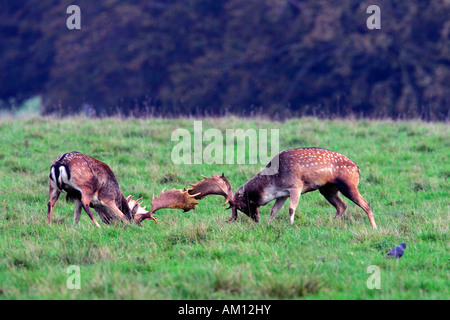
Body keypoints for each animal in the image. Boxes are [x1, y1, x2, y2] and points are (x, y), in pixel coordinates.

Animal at [185, 149, 376, 229]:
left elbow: (291, 208)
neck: (275, 180)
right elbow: (274, 210)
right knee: (342, 206)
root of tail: (357, 168)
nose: (255, 219)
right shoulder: (282, 194)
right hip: (327, 189)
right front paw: (269, 224)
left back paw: (374, 228)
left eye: (241, 205)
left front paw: (291, 225)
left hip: (348, 185)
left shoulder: (296, 187)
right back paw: (332, 223)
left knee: (366, 204)